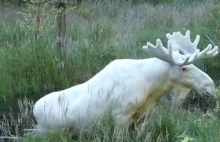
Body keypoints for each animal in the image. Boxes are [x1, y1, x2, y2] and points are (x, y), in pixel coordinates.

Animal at [32, 29, 218, 134]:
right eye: (184, 68)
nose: (210, 85)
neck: (152, 87)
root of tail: (35, 113)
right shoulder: (120, 115)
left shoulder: (143, 115)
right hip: (50, 132)